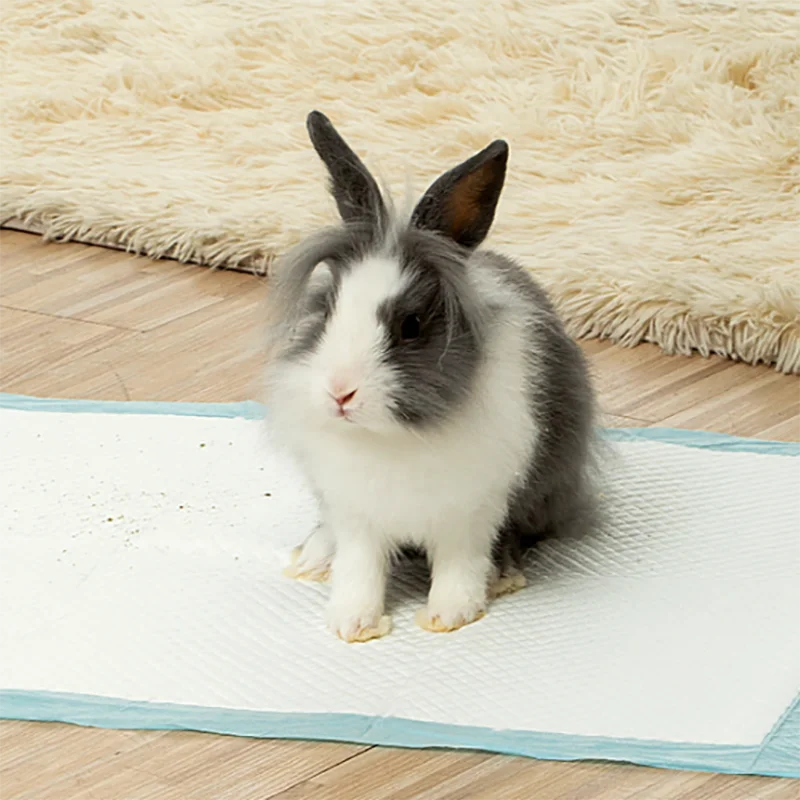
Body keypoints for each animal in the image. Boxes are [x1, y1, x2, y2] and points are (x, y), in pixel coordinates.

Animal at [265, 111, 598, 643]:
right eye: (328, 308)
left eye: (411, 325)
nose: (340, 393)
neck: (392, 438)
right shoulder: (356, 513)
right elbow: (360, 568)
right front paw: (352, 622)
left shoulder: (472, 510)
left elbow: (460, 564)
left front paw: (450, 614)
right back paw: (312, 559)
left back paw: (503, 575)